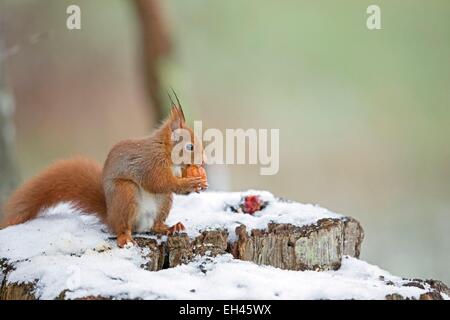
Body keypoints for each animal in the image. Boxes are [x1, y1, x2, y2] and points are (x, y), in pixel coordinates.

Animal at [0, 101, 208, 246]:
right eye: (190, 146)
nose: (204, 160)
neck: (166, 153)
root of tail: (110, 217)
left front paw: (199, 184)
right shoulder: (148, 164)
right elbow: (158, 182)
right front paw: (188, 183)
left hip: (164, 201)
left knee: (155, 225)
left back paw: (170, 227)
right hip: (125, 194)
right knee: (123, 227)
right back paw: (125, 238)